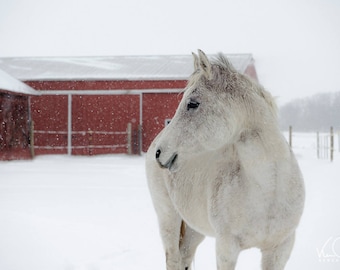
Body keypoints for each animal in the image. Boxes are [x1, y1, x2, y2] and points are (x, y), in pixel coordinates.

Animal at [145, 50, 304, 270]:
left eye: (192, 103)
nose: (160, 153)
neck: (269, 190)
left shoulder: (280, 248)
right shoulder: (226, 249)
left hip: (195, 228)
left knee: (185, 256)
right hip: (168, 217)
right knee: (174, 258)